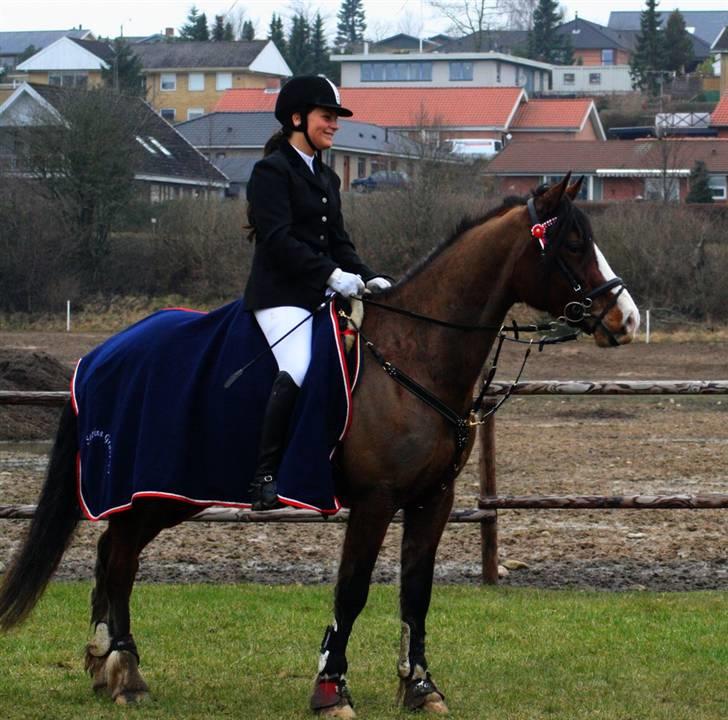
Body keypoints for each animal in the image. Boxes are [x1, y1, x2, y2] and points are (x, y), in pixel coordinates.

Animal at [0, 176, 636, 716]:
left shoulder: (434, 499)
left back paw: (102, 662)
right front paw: (331, 690)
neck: (413, 352)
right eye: (573, 243)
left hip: (164, 496)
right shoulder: (376, 501)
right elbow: (351, 591)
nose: (625, 318)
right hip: (154, 490)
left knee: (112, 552)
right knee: (121, 559)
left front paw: (420, 687)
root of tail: (103, 353)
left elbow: (417, 592)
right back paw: (127, 674)